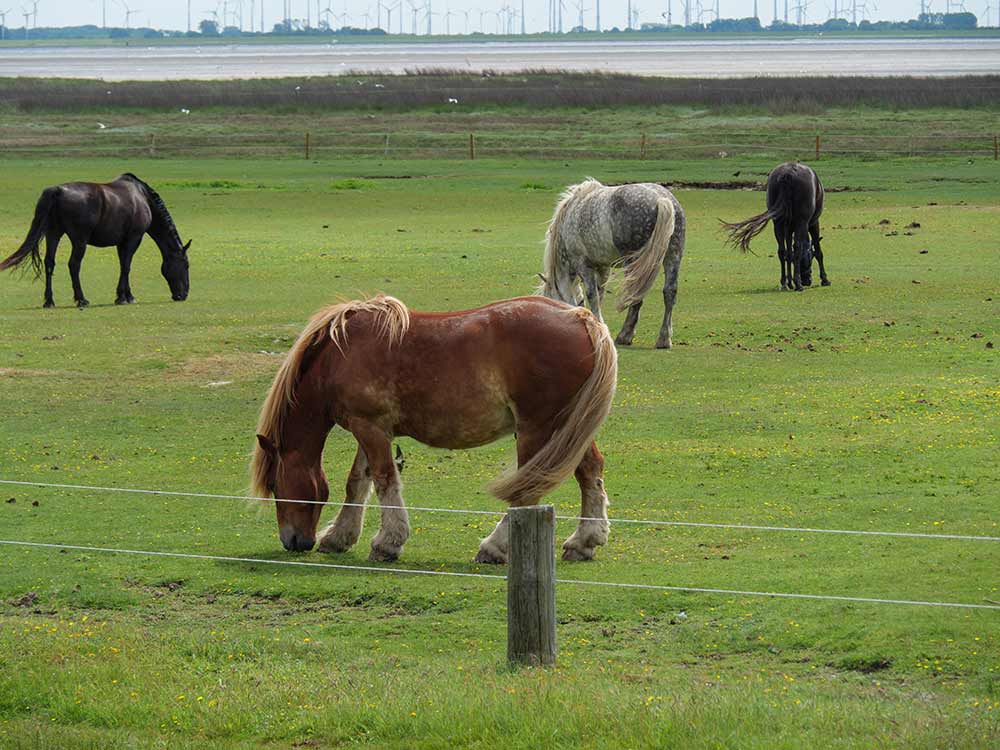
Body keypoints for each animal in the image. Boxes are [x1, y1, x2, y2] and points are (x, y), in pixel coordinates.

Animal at [0, 174, 190, 308]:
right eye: (186, 265)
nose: (184, 295)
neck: (143, 199)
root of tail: (58, 190)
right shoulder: (133, 238)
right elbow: (126, 266)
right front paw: (123, 297)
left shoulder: (121, 242)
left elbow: (124, 265)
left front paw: (126, 296)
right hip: (79, 240)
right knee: (74, 264)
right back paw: (81, 299)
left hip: (53, 234)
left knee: (49, 263)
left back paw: (49, 301)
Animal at [250, 296, 616, 568]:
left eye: (274, 484)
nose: (293, 541)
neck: (341, 355)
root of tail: (581, 317)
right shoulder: (369, 427)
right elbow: (358, 482)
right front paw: (339, 537)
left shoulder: (369, 426)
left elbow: (384, 480)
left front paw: (387, 543)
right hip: (568, 429)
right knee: (590, 472)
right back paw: (584, 541)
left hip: (538, 429)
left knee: (527, 490)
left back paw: (495, 547)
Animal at [540, 181, 688, 352]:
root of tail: (661, 199)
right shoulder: (603, 267)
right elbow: (600, 294)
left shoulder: (583, 265)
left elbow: (592, 295)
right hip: (673, 256)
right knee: (669, 292)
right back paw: (664, 339)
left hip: (634, 262)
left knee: (635, 297)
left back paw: (625, 335)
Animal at [720, 160, 828, 292]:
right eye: (810, 257)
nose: (807, 281)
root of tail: (788, 173)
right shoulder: (813, 223)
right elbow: (817, 251)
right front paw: (824, 279)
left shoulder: (788, 228)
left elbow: (789, 253)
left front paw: (789, 282)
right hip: (801, 222)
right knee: (797, 248)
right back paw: (798, 285)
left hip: (778, 223)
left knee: (781, 251)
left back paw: (784, 284)